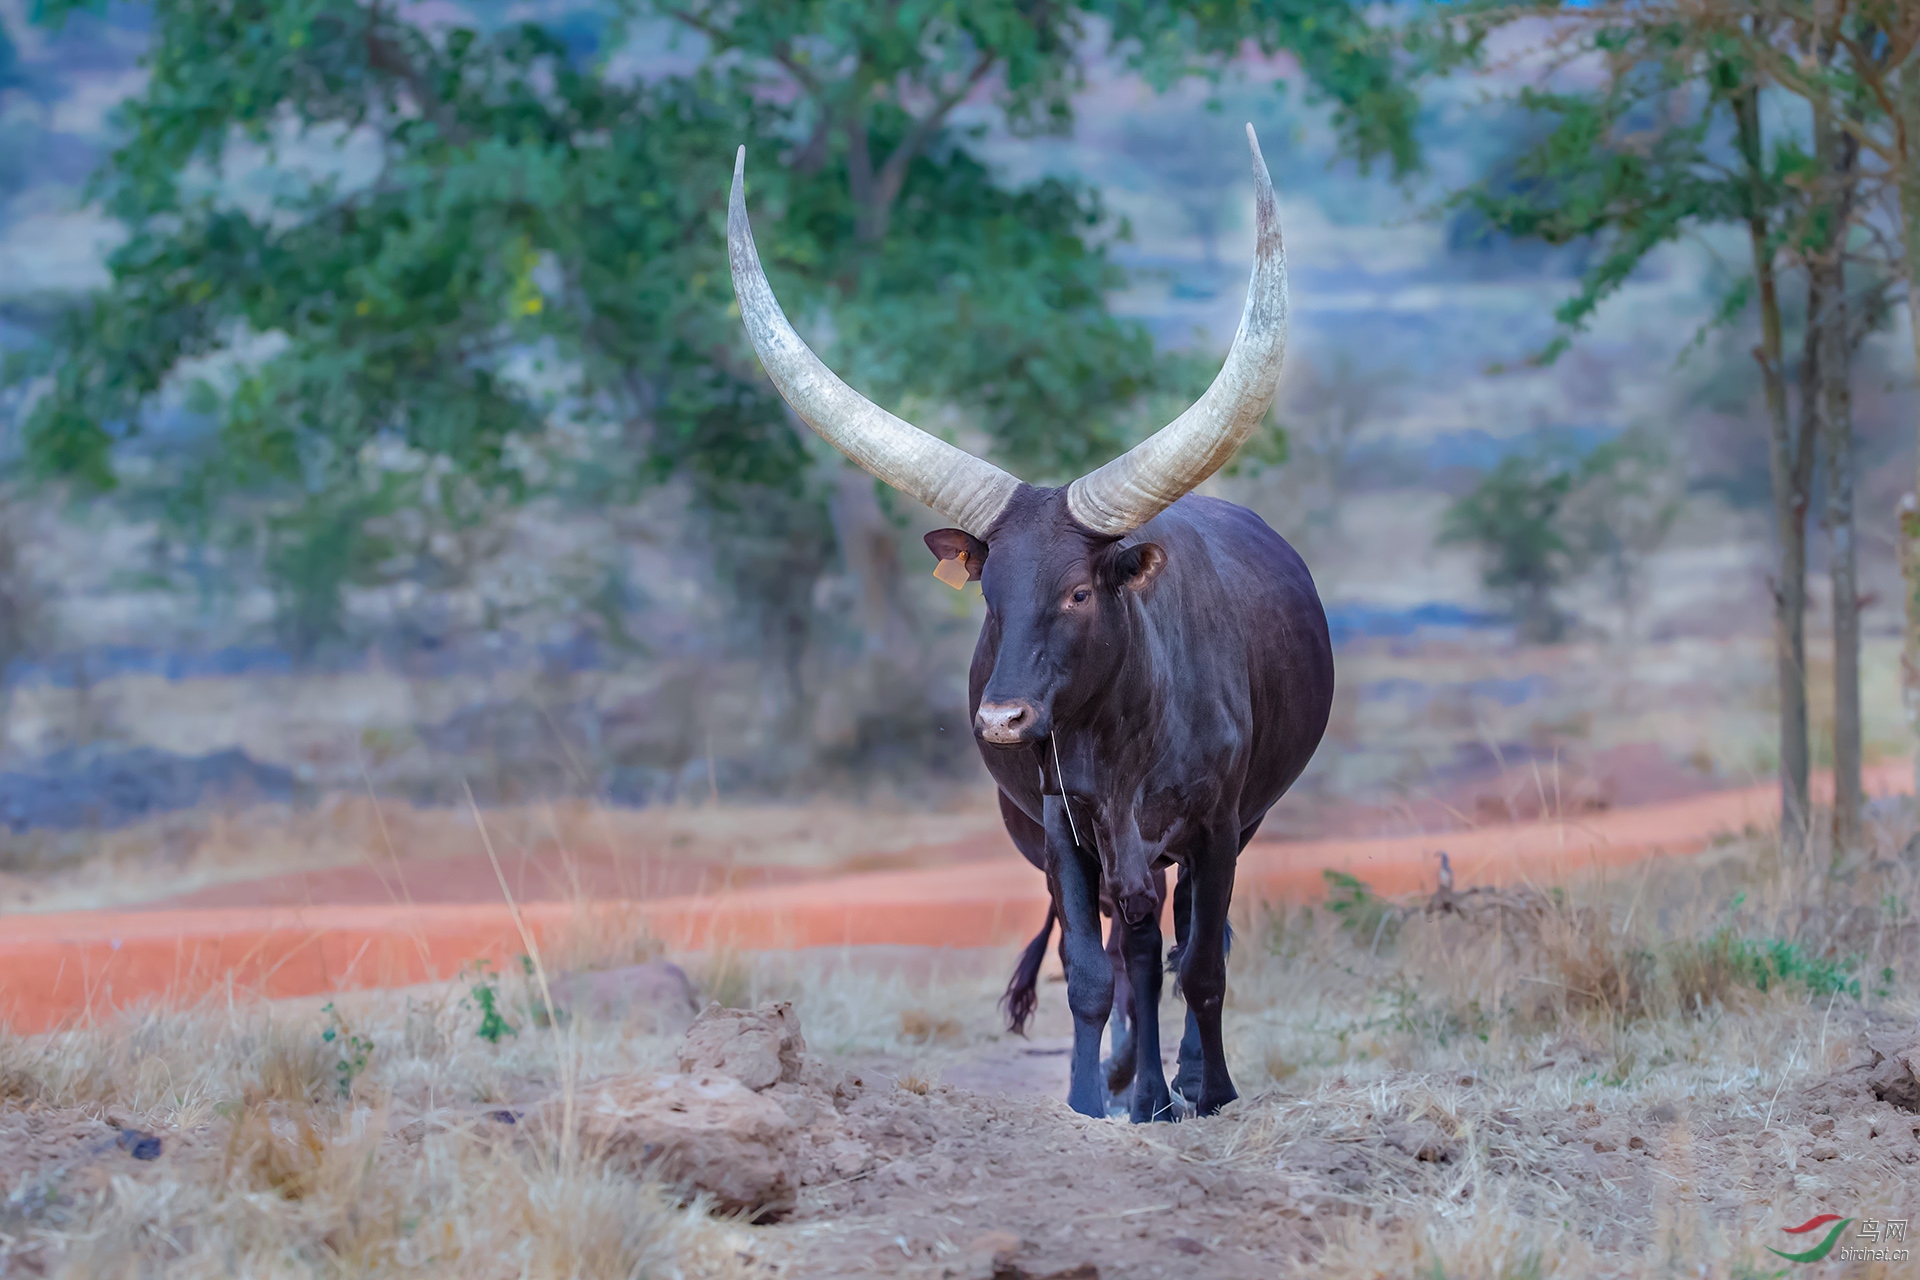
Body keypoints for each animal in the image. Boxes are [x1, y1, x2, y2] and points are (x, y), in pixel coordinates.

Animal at [729, 122, 1336, 1120]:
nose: (1003, 718)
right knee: (1127, 953)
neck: (1124, 726)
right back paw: (1137, 1085)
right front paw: (1094, 1098)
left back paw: (1174, 1084)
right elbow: (1091, 973)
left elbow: (1203, 965)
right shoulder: (1065, 829)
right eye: (989, 596)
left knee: (1180, 944)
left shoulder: (1217, 825)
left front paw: (1208, 1092)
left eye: (1080, 592)